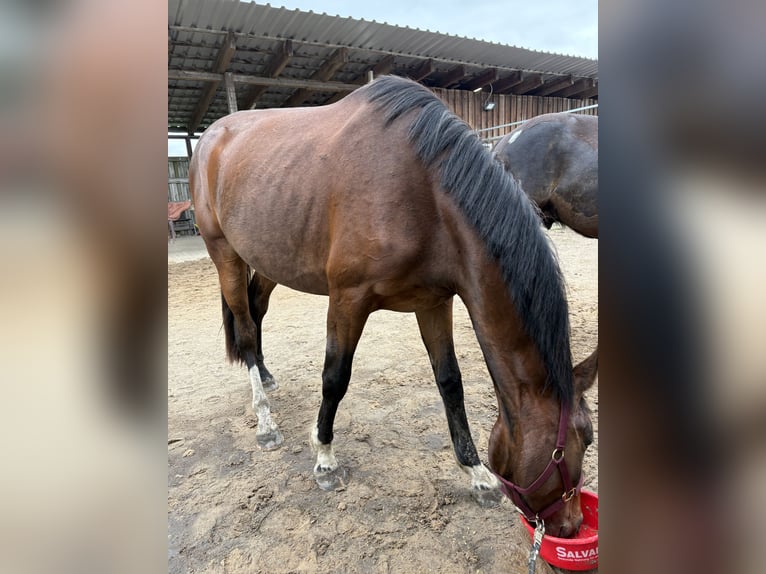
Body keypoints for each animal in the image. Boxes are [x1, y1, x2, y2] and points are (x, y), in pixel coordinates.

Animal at [190, 75, 598, 538]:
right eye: (584, 441)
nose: (572, 525)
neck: (423, 191)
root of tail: (210, 138)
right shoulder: (347, 299)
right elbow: (335, 378)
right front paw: (325, 458)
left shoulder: (434, 302)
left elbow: (450, 382)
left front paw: (475, 473)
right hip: (225, 253)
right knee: (243, 328)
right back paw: (265, 421)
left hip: (269, 257)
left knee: (256, 313)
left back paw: (265, 374)